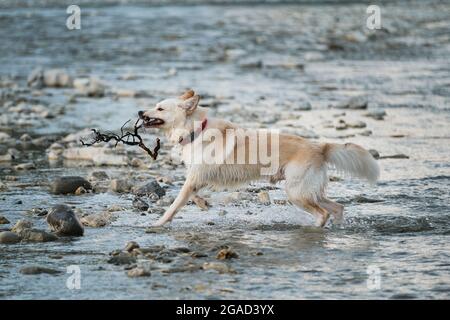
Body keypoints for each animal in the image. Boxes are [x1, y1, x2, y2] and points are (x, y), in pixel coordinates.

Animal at [139, 89, 378, 226]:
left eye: (160, 108)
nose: (140, 112)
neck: (195, 129)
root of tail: (320, 147)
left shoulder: (196, 176)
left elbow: (176, 203)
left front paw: (159, 223)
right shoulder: (199, 176)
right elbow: (194, 196)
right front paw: (204, 204)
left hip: (296, 193)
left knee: (322, 214)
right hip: (309, 191)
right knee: (337, 208)